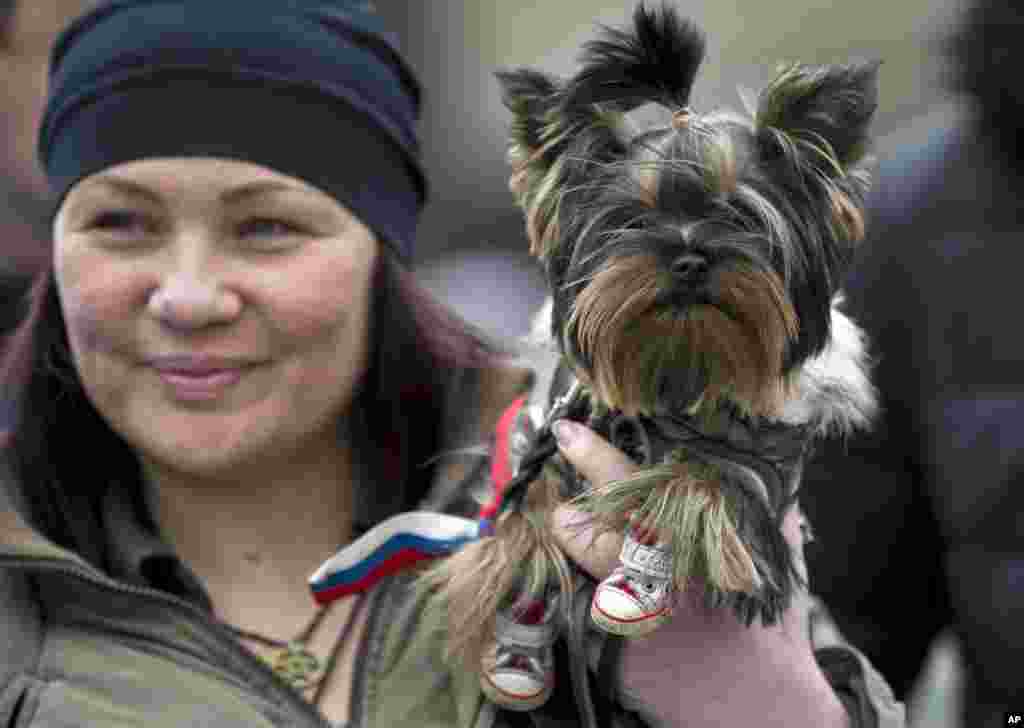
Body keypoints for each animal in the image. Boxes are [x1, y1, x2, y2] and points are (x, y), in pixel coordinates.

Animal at [423, 4, 880, 712]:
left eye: (742, 216)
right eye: (631, 219)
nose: (689, 255)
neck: (676, 369)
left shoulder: (768, 448)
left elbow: (713, 469)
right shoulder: (543, 428)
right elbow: (523, 497)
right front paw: (514, 570)